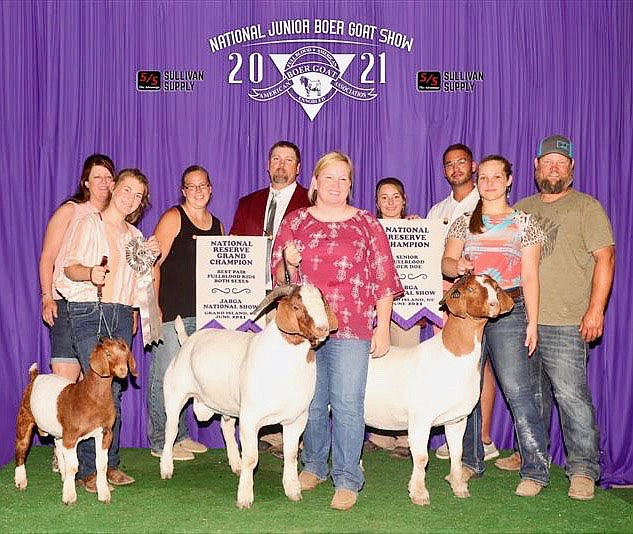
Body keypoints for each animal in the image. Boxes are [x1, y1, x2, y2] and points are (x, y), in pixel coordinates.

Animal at [14, 340, 136, 506]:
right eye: (108, 354)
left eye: (125, 352)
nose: (123, 370)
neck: (91, 397)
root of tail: (35, 377)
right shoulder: (71, 436)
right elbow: (74, 466)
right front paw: (69, 496)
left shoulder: (105, 433)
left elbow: (102, 464)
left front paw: (104, 494)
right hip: (25, 416)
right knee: (21, 447)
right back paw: (21, 480)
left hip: (59, 431)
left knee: (58, 448)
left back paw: (63, 476)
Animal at [160, 284, 338, 510]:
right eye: (297, 306)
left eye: (322, 303)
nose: (323, 328)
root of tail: (186, 343)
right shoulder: (250, 418)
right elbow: (252, 458)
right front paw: (244, 497)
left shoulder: (297, 418)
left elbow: (290, 455)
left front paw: (293, 490)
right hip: (175, 395)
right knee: (171, 431)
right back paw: (166, 469)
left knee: (226, 427)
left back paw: (236, 464)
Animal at [362, 276, 512, 506]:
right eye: (470, 289)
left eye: (495, 287)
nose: (494, 304)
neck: (452, 357)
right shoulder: (420, 418)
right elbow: (422, 457)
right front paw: (419, 493)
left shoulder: (457, 419)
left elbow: (457, 453)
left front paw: (459, 487)